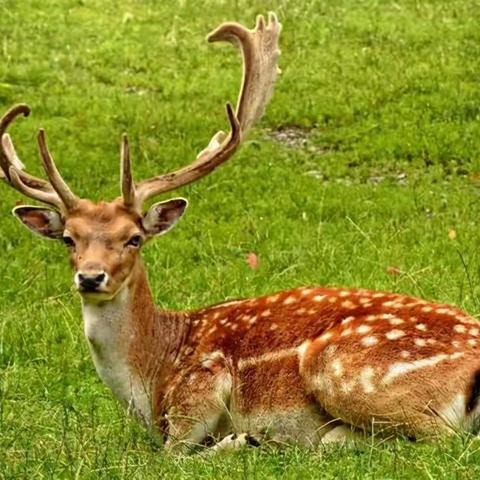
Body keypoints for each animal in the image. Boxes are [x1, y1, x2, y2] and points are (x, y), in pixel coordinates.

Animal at [0, 11, 480, 452]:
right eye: (69, 239)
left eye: (133, 238)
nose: (91, 277)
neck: (152, 376)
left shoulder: (199, 387)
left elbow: (174, 456)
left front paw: (238, 440)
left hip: (343, 368)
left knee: (439, 437)